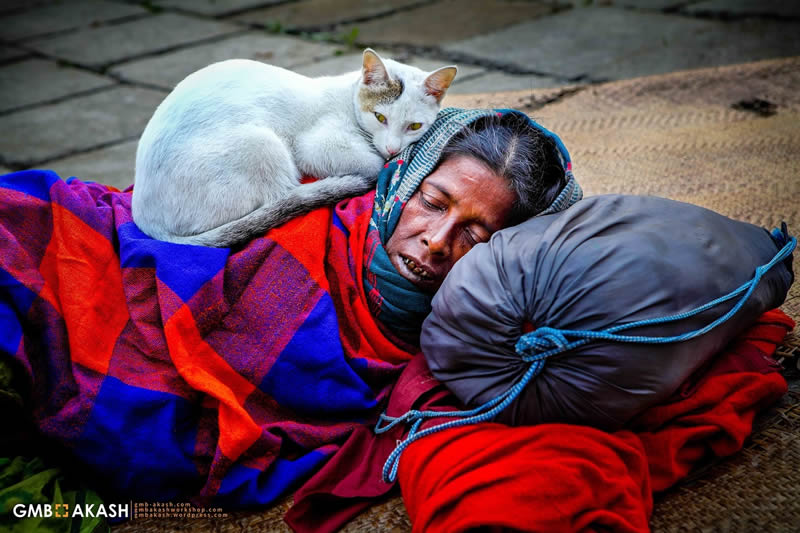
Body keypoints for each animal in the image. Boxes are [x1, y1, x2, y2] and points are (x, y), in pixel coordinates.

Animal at [131, 47, 456, 245]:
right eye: (380, 117)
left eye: (414, 126)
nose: (392, 148)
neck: (347, 98)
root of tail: (146, 219)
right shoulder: (315, 146)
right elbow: (373, 163)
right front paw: (379, 163)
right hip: (262, 143)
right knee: (282, 196)